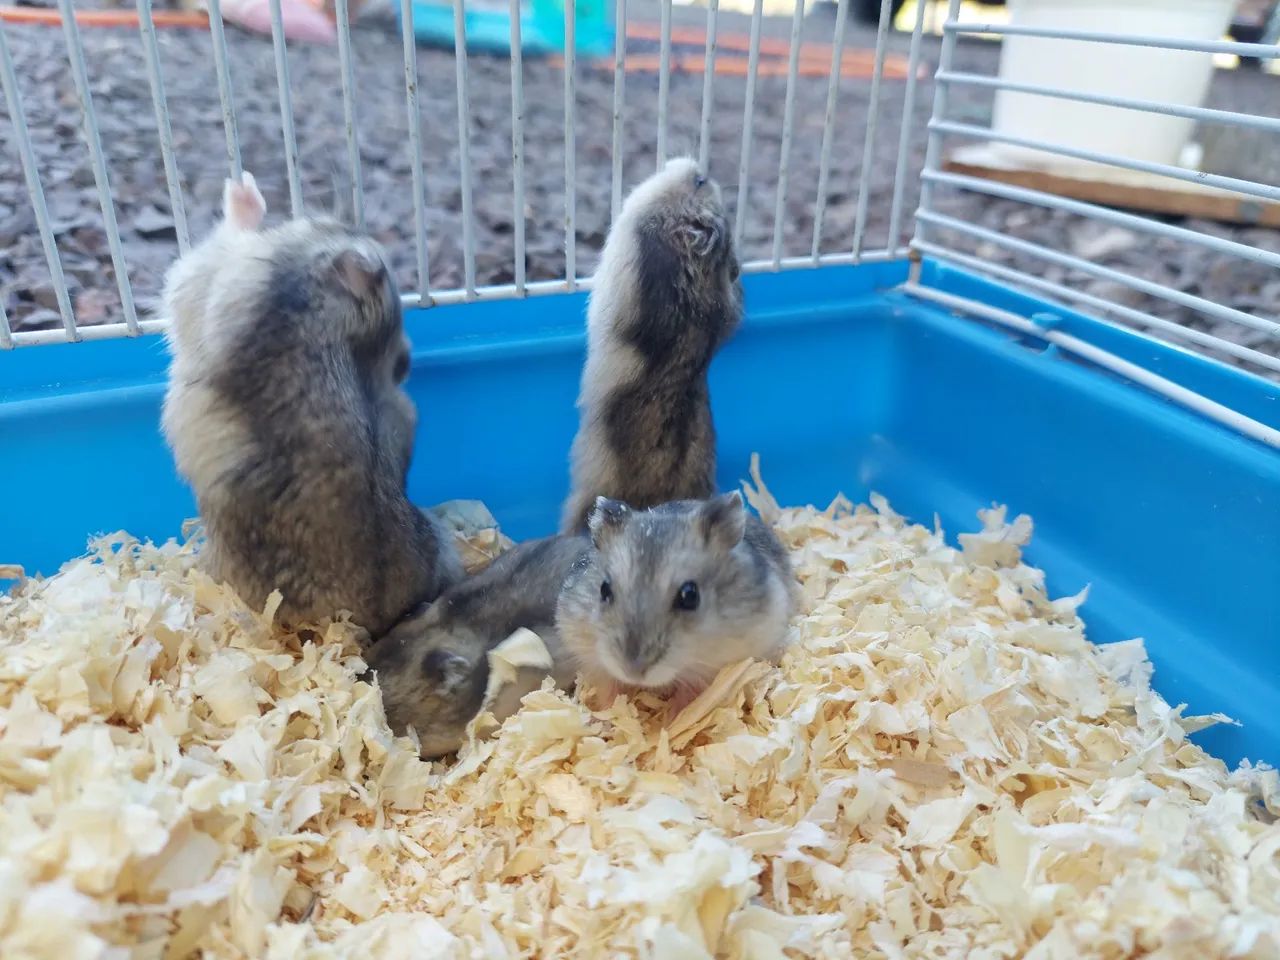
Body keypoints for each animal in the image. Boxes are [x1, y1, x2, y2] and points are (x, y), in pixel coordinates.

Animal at [161, 172, 463, 638]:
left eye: (318, 224)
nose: (340, 217)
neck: (352, 327)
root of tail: (359, 622)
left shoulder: (211, 277)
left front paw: (242, 186)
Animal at [556, 491, 796, 714]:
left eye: (690, 596)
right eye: (603, 589)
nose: (633, 671)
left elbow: (689, 695)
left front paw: (670, 719)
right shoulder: (591, 658)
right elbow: (609, 689)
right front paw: (607, 715)